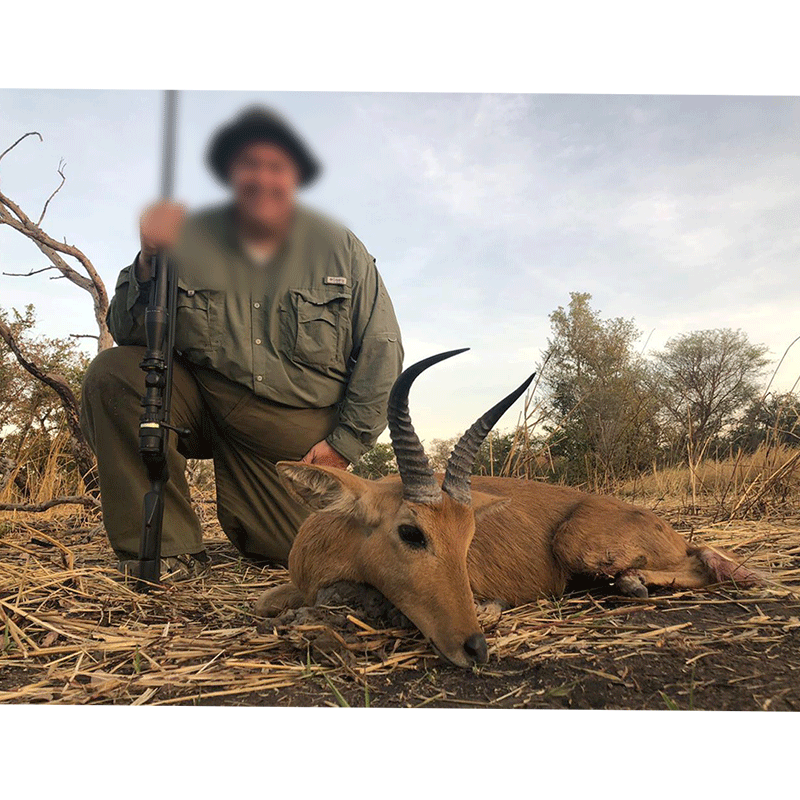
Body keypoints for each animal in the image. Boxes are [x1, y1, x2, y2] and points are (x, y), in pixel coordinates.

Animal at [253, 350, 760, 668]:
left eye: (468, 539)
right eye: (412, 532)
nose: (475, 648)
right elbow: (266, 602)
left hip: (580, 546)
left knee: (701, 562)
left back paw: (634, 582)